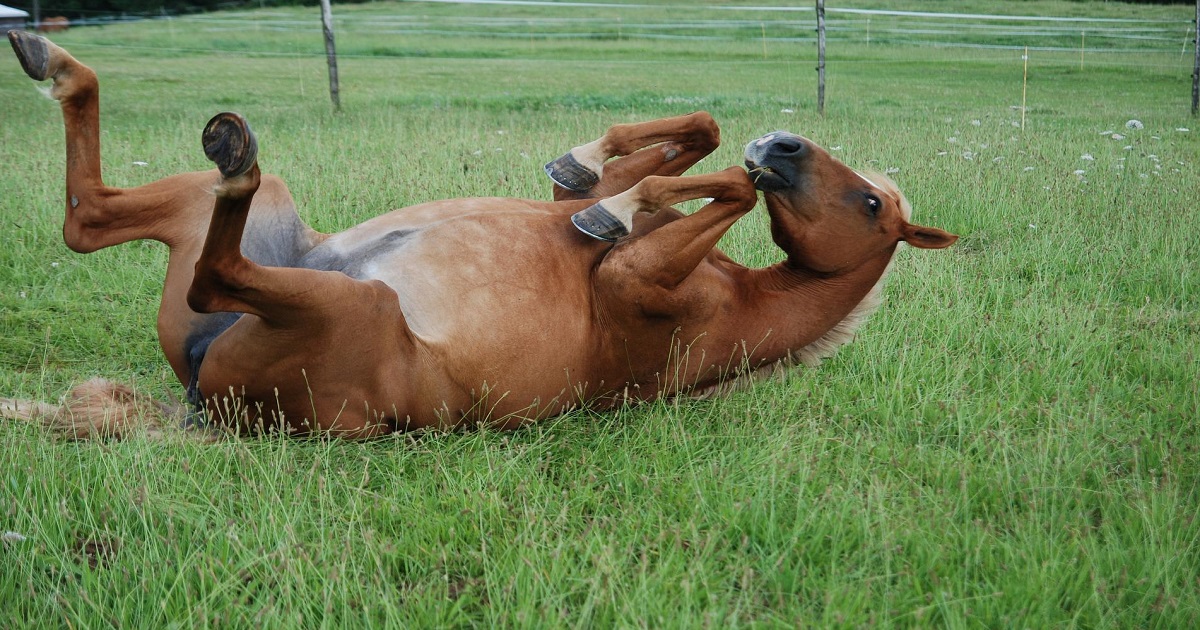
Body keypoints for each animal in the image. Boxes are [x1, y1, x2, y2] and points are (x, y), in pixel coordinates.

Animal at [2, 33, 955, 436]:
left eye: (874, 207)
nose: (783, 146)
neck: (740, 304)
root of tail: (201, 401)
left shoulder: (632, 285)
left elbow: (720, 188)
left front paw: (613, 210)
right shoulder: (616, 215)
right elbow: (692, 140)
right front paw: (587, 169)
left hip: (348, 307)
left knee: (208, 265)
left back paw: (223, 146)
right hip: (267, 221)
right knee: (88, 218)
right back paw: (51, 58)